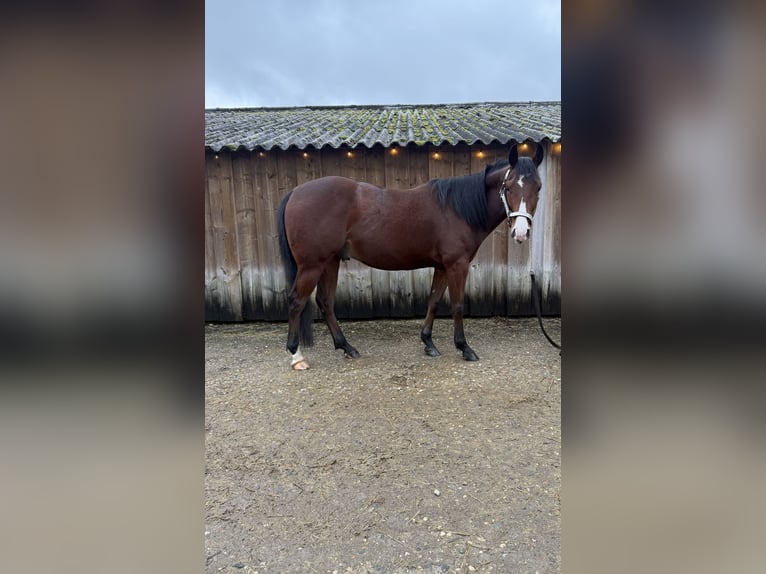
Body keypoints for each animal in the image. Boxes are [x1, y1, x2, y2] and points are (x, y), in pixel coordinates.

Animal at [277, 143, 544, 370]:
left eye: (538, 187)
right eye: (508, 187)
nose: (521, 233)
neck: (457, 208)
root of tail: (295, 192)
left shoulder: (442, 266)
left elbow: (434, 300)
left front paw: (428, 343)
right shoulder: (457, 265)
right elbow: (457, 304)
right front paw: (464, 347)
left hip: (330, 261)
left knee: (325, 302)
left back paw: (347, 347)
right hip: (312, 265)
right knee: (296, 301)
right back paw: (297, 356)